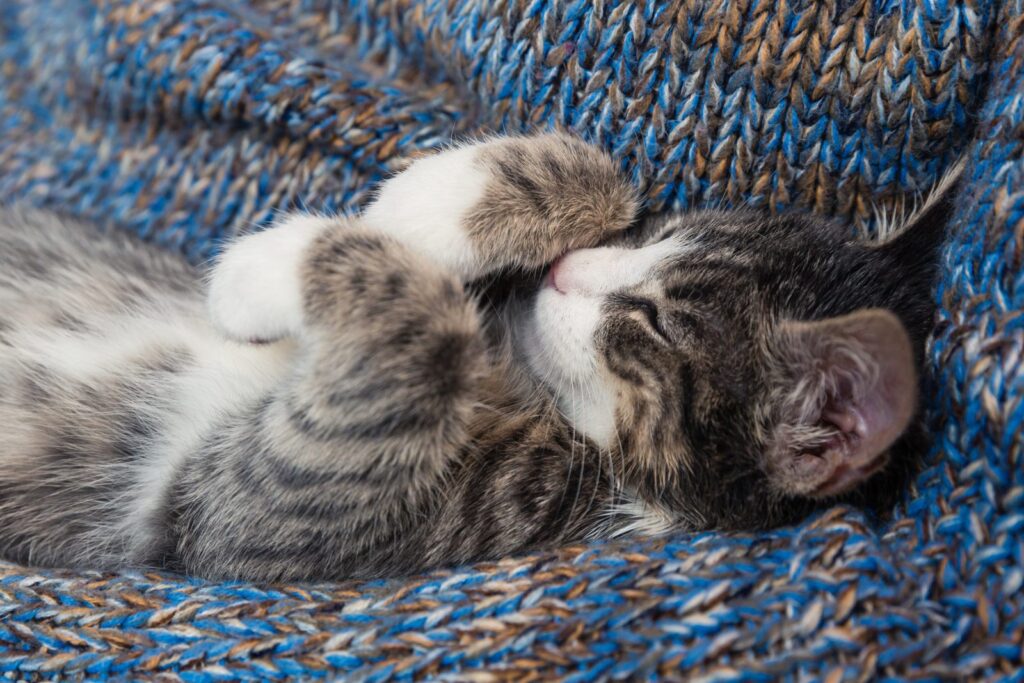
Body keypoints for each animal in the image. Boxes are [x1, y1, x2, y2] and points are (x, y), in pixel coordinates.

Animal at [0, 135, 958, 581]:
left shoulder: (247, 519)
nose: (569, 271)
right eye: (654, 234)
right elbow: (596, 167)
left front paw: (264, 269)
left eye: (651, 320)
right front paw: (419, 207)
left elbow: (414, 336)